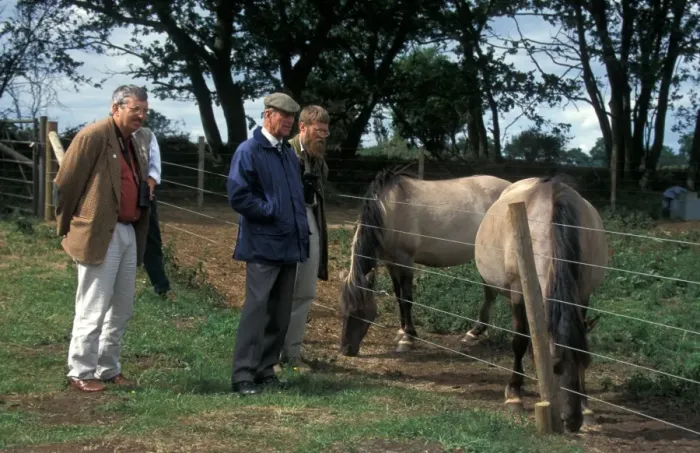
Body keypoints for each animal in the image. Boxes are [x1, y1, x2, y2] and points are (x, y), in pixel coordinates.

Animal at [338, 167, 512, 356]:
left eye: (359, 311)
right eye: (343, 309)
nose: (346, 350)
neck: (389, 210)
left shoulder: (405, 260)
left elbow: (407, 298)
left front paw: (408, 338)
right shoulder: (391, 262)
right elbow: (398, 295)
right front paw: (401, 331)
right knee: (490, 292)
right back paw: (474, 333)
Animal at [472, 176, 608, 432]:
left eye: (587, 363)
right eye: (554, 366)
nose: (572, 422)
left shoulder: (583, 293)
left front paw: (587, 407)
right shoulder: (517, 291)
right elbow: (519, 341)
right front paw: (514, 394)